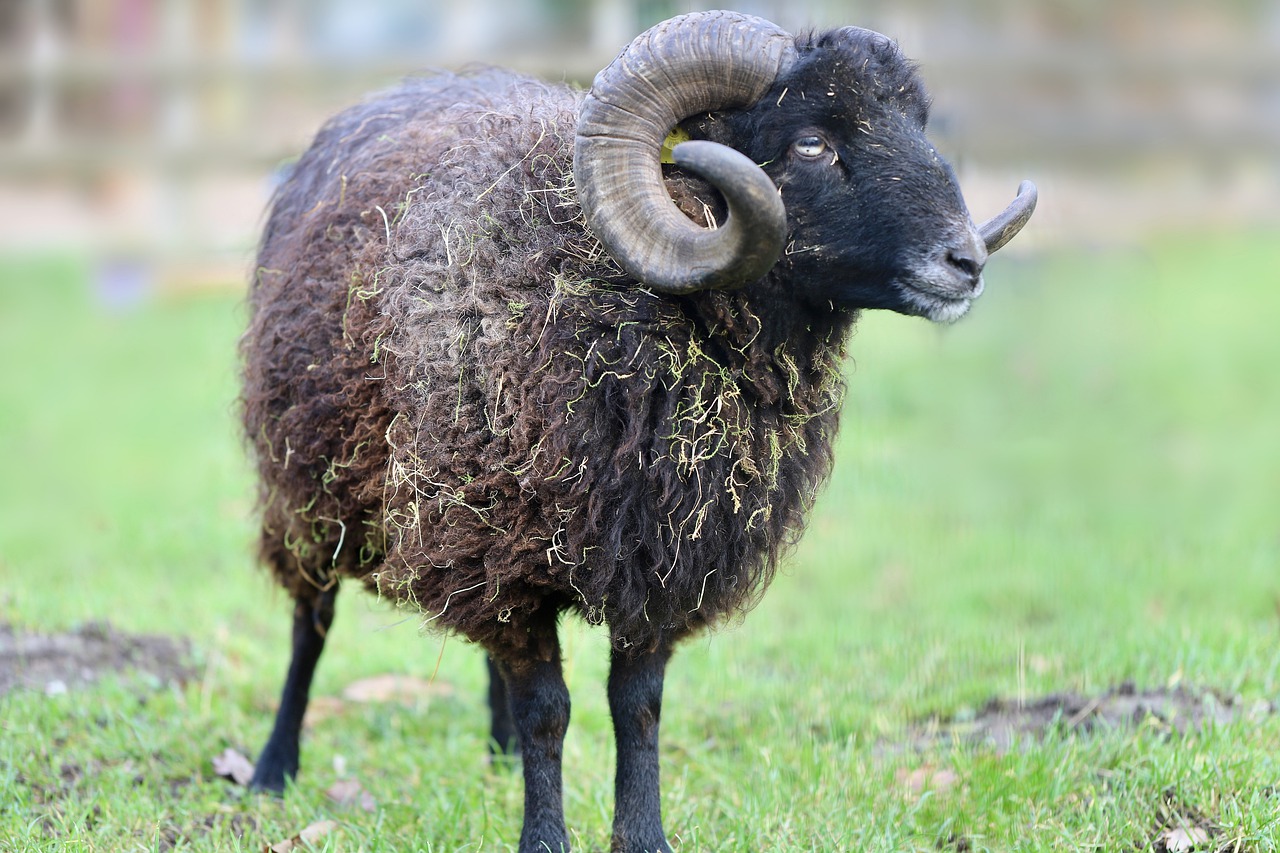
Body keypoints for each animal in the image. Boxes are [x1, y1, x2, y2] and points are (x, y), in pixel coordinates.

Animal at [239, 11, 1036, 853]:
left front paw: (643, 834)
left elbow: (638, 705)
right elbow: (548, 710)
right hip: (312, 490)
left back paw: (494, 754)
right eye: (812, 142)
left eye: (917, 122)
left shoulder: (660, 552)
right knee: (311, 624)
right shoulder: (512, 554)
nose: (966, 260)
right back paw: (272, 769)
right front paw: (543, 838)